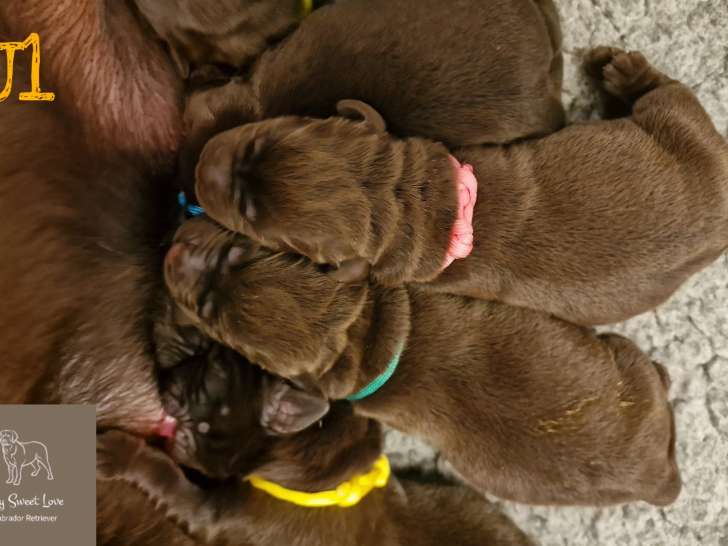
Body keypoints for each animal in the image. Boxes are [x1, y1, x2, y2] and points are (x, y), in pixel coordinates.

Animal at [196, 46, 728, 326]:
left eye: (251, 221)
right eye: (260, 140)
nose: (201, 164)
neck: (407, 202)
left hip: (680, 124)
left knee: (666, 91)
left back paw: (622, 70)